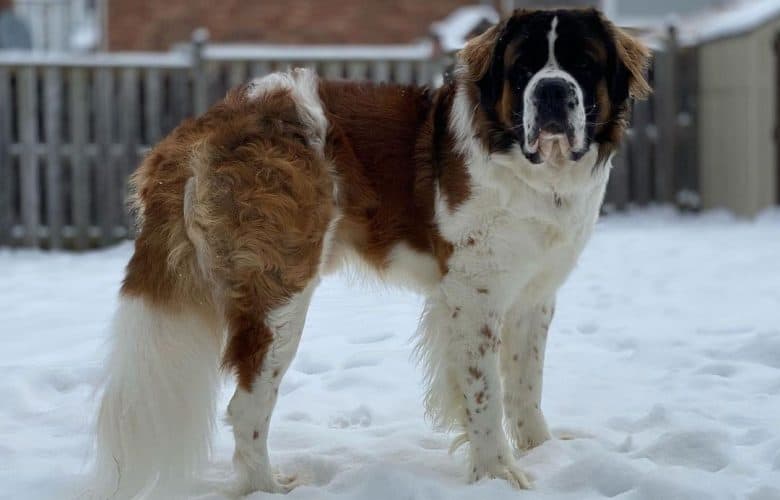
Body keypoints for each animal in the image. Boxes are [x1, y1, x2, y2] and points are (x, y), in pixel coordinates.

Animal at [93, 8, 652, 500]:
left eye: (583, 64)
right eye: (523, 69)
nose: (553, 89)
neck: (531, 168)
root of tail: (205, 124)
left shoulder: (534, 293)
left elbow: (525, 381)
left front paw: (543, 451)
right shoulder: (475, 295)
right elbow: (485, 392)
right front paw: (499, 475)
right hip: (282, 295)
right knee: (247, 405)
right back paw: (267, 487)